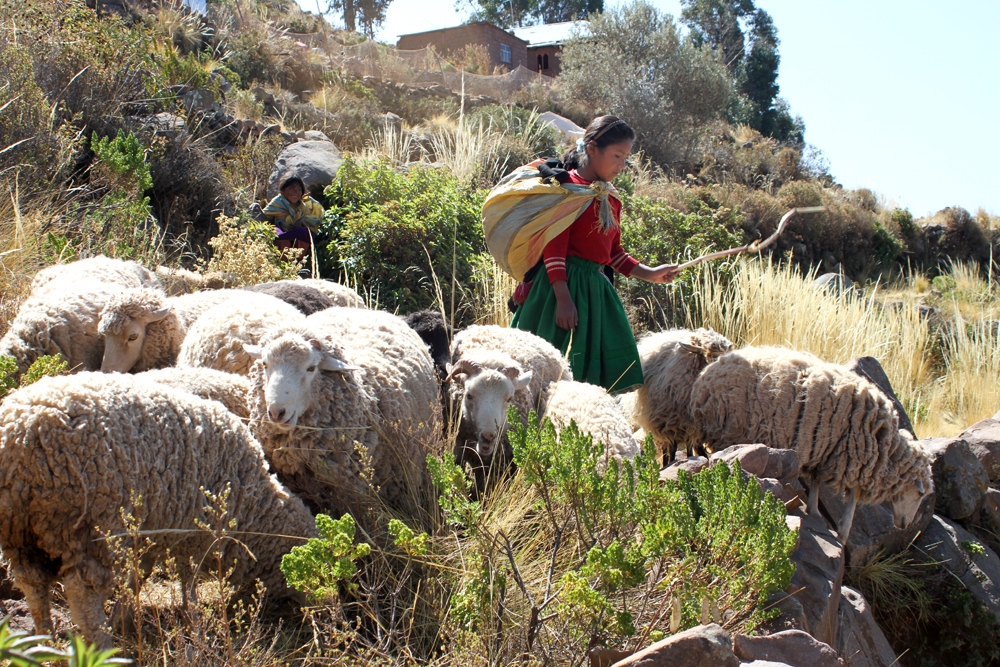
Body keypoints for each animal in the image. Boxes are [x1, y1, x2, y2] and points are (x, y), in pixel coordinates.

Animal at [0, 374, 316, 644]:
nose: (319, 612)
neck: (249, 500)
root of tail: (21, 433)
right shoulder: (192, 533)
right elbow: (187, 580)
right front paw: (193, 622)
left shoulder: (153, 526)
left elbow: (141, 573)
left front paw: (124, 618)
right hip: (89, 526)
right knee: (82, 594)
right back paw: (101, 646)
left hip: (20, 531)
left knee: (32, 584)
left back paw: (45, 641)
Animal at [624, 328, 736, 464]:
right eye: (713, 358)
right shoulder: (671, 424)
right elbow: (672, 449)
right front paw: (672, 462)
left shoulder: (691, 426)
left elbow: (690, 446)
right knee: (666, 448)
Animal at [692, 348, 932, 540]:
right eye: (920, 494)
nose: (904, 525)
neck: (884, 448)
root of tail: (704, 379)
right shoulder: (851, 456)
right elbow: (851, 499)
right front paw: (841, 531)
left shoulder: (829, 455)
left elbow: (820, 486)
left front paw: (816, 513)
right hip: (728, 429)